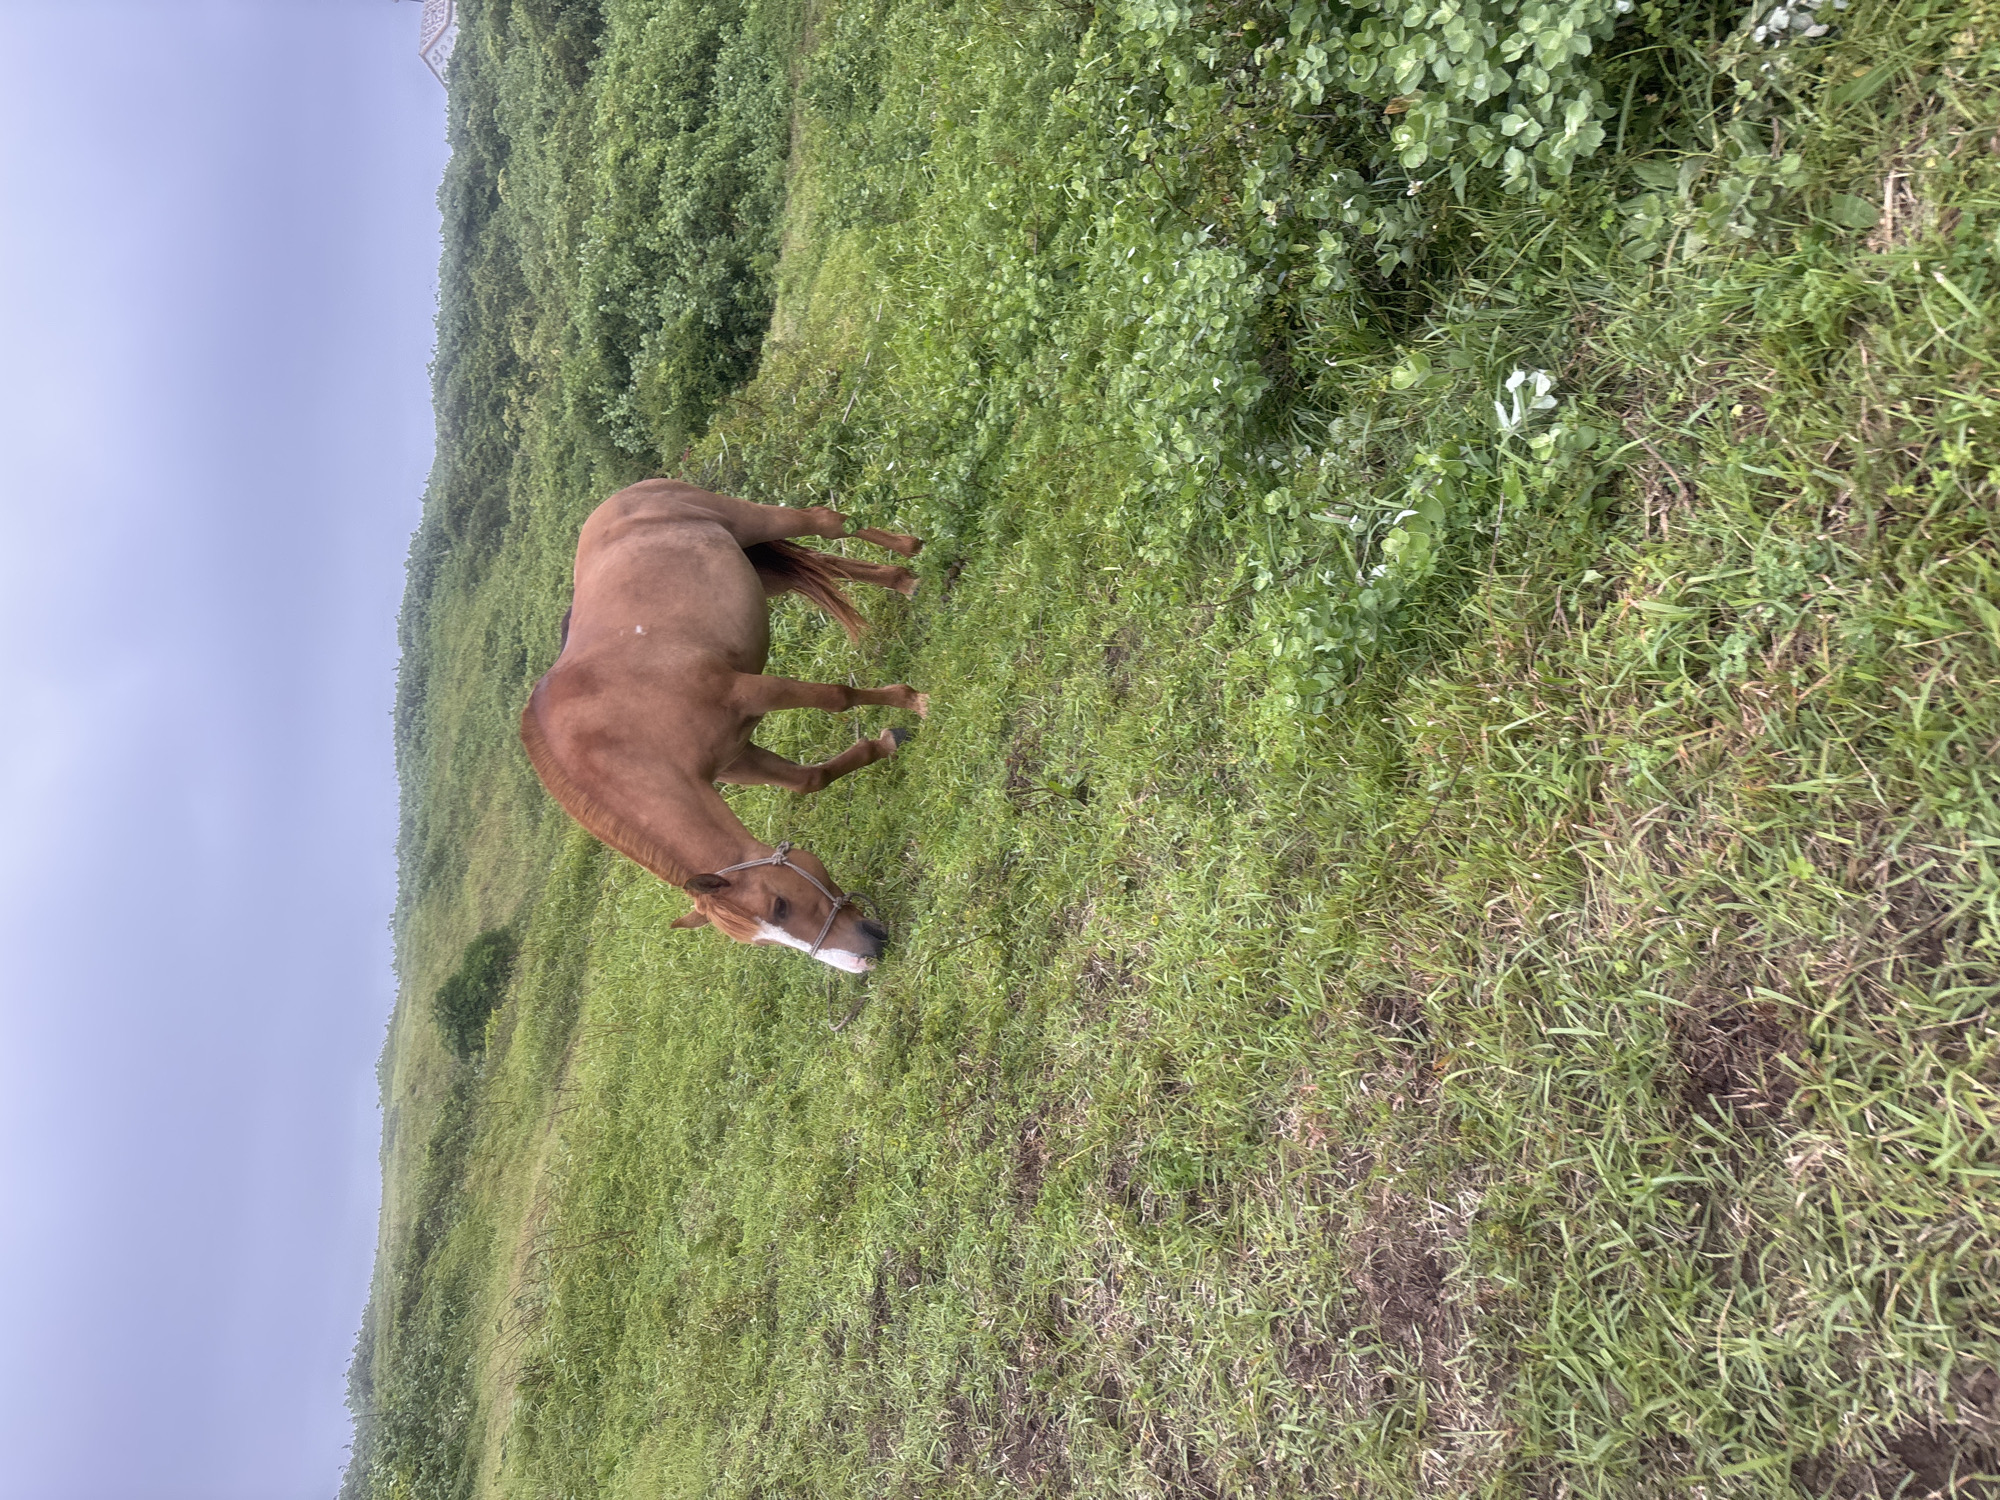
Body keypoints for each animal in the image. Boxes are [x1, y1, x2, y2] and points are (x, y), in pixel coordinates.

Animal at [519, 480, 927, 973]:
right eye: (764, 941)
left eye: (779, 906)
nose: (866, 957)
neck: (618, 742)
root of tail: (622, 497)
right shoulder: (737, 757)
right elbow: (809, 780)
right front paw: (887, 741)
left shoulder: (749, 692)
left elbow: (836, 698)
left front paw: (913, 702)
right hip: (760, 571)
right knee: (829, 561)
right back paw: (903, 580)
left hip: (754, 522)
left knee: (826, 522)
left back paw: (909, 548)